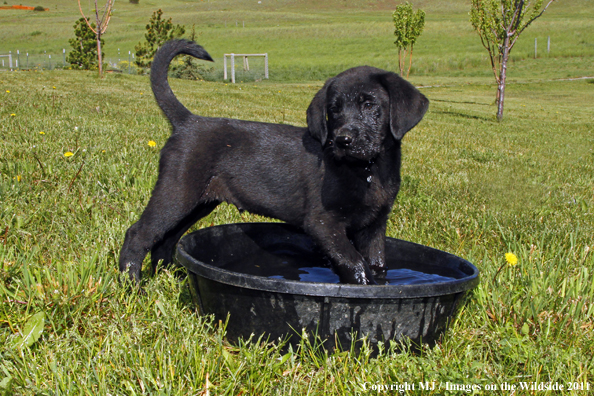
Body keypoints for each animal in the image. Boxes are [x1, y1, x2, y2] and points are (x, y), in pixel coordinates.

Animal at [119, 39, 426, 284]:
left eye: (370, 105)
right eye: (334, 110)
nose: (343, 140)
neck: (366, 170)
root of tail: (187, 122)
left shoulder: (373, 226)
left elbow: (377, 264)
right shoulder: (323, 223)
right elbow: (354, 262)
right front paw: (363, 287)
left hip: (198, 203)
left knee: (165, 240)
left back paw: (167, 278)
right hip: (177, 191)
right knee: (138, 233)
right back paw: (132, 285)